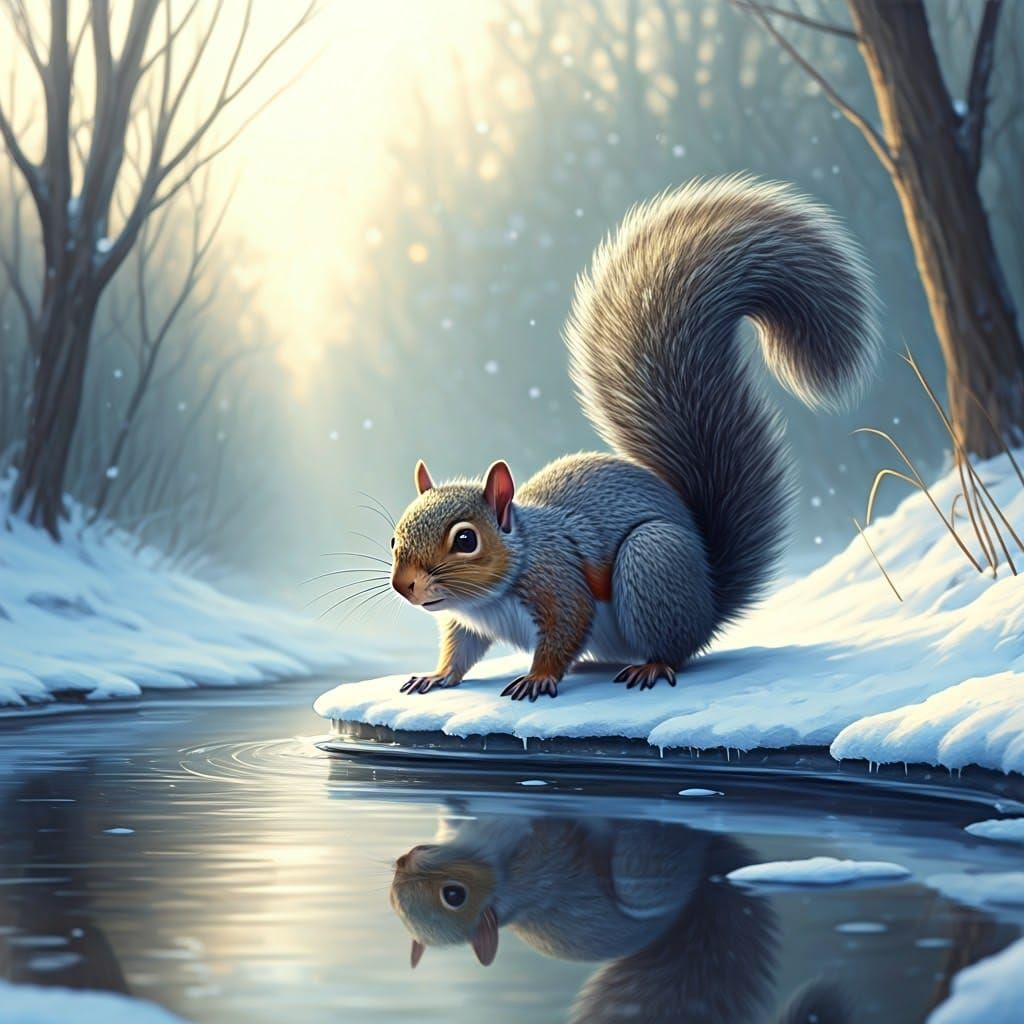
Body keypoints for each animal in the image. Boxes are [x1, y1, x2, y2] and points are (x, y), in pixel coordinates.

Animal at [388, 176, 879, 700]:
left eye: (466, 540)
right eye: (394, 537)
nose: (404, 586)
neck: (491, 594)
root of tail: (709, 600)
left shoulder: (559, 582)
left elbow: (565, 628)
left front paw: (539, 677)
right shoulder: (467, 623)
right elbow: (459, 648)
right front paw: (437, 675)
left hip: (651, 562)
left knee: (673, 648)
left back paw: (650, 666)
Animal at [389, 812, 849, 1024]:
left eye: (453, 895)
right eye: (397, 901)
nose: (402, 858)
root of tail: (706, 872)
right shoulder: (543, 863)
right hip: (642, 870)